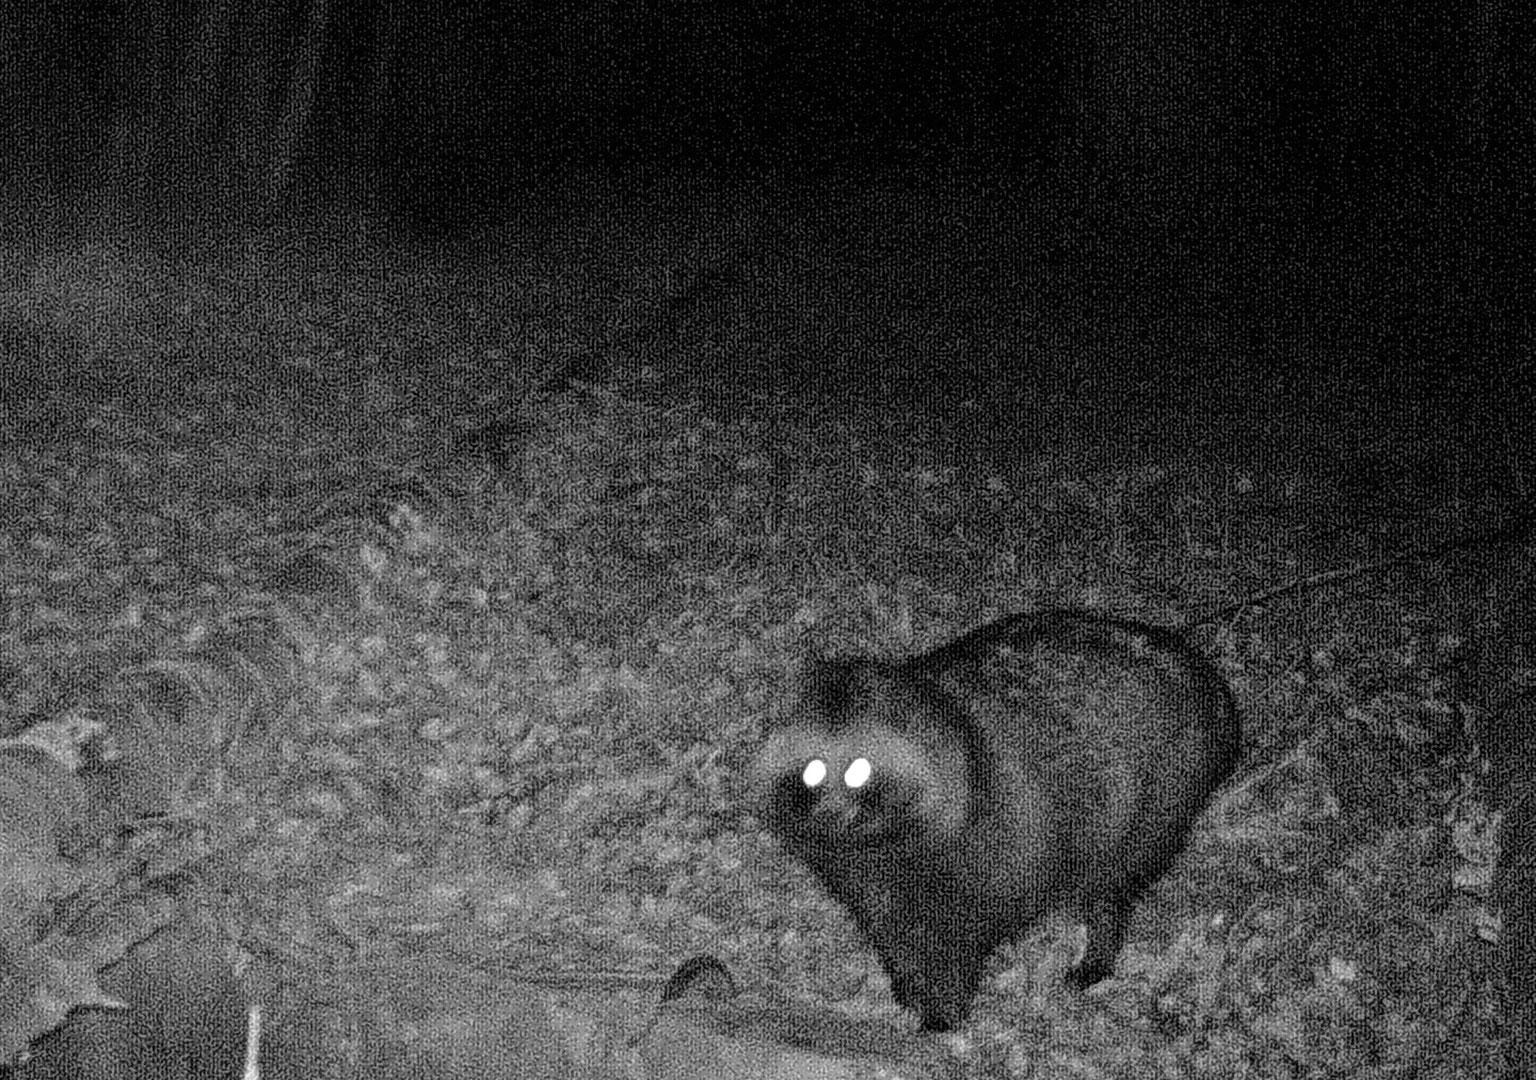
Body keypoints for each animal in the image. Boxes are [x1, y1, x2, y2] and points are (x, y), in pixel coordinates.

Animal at [749, 608, 1241, 1032]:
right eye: (812, 770)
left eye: (859, 771)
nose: (830, 814)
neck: (876, 837)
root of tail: (1201, 676)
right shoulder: (859, 867)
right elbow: (884, 921)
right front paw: (905, 984)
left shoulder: (985, 841)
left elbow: (958, 935)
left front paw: (941, 1011)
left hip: (1159, 792)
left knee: (1110, 883)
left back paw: (1098, 951)